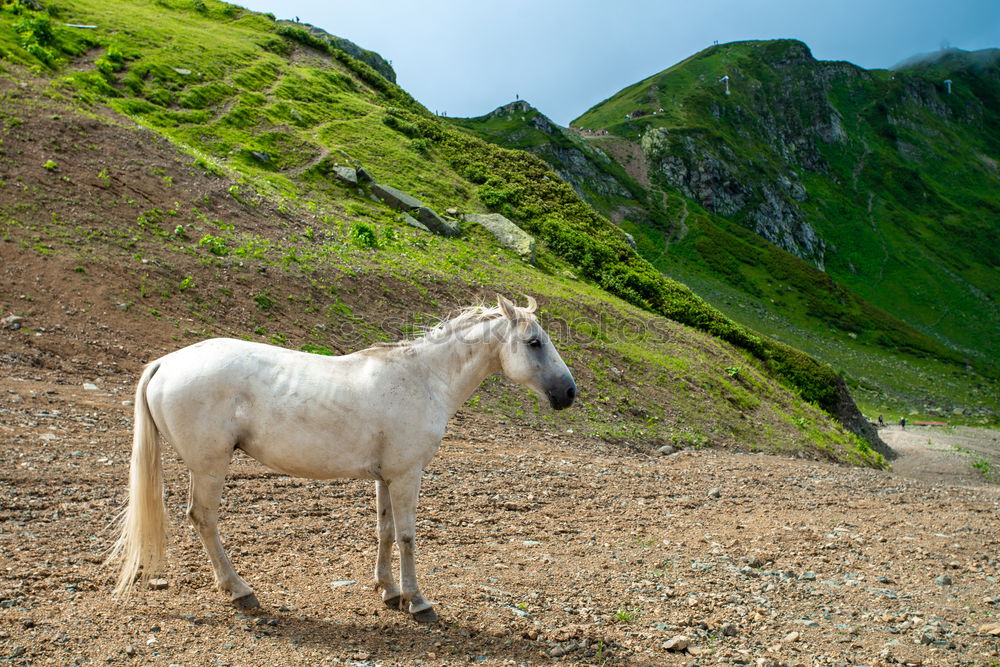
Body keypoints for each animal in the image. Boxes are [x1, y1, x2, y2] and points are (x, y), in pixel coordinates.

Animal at [105, 294, 576, 624]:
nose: (569, 393)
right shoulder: (408, 476)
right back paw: (240, 590)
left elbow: (385, 531)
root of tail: (167, 363)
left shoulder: (385, 477)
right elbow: (407, 536)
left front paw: (388, 591)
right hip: (209, 467)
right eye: (534, 342)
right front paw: (417, 601)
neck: (422, 379)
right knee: (203, 519)